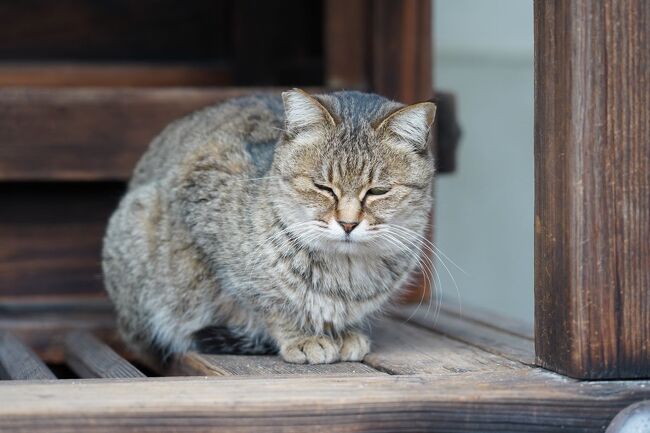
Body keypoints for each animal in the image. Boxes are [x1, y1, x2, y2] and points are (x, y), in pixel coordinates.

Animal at [102, 89, 436, 362]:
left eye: (378, 191)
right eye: (323, 187)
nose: (348, 223)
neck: (345, 272)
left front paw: (342, 332)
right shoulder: (201, 187)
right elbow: (269, 304)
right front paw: (302, 337)